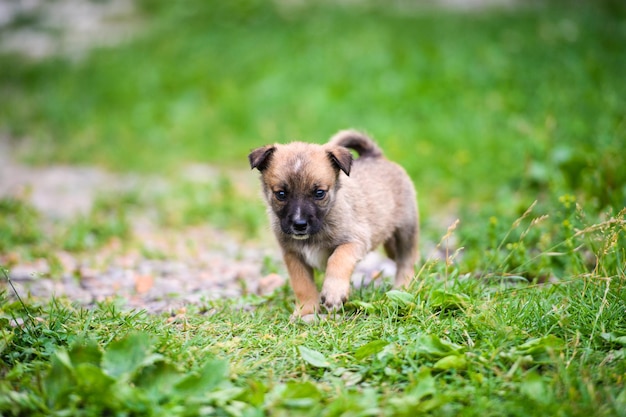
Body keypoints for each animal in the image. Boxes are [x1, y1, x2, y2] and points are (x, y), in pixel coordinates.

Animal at [249, 130, 420, 318]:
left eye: (319, 193)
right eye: (280, 194)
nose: (299, 224)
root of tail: (374, 155)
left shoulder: (354, 242)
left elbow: (338, 259)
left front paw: (334, 293)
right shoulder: (293, 255)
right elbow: (302, 284)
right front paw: (306, 311)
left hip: (407, 228)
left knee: (406, 260)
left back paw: (403, 287)